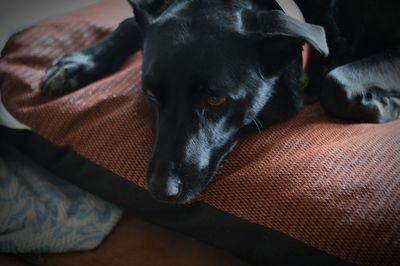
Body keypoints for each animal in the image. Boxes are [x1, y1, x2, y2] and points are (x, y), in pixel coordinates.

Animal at [39, 0, 400, 203]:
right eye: (151, 94)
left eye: (215, 99)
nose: (160, 191)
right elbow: (130, 21)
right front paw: (76, 65)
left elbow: (335, 83)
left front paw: (384, 104)